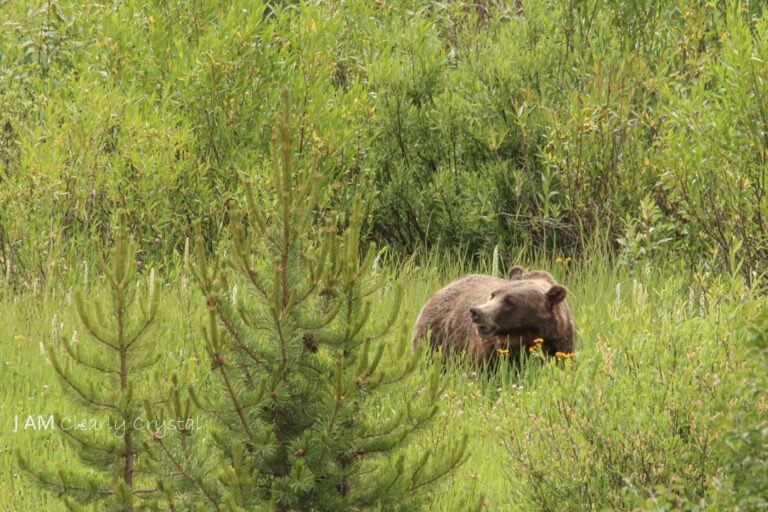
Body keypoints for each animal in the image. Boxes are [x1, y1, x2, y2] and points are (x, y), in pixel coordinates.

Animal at [412, 266, 572, 366]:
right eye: (493, 294)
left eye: (510, 301)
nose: (476, 311)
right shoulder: (491, 350)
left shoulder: (560, 345)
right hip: (435, 337)